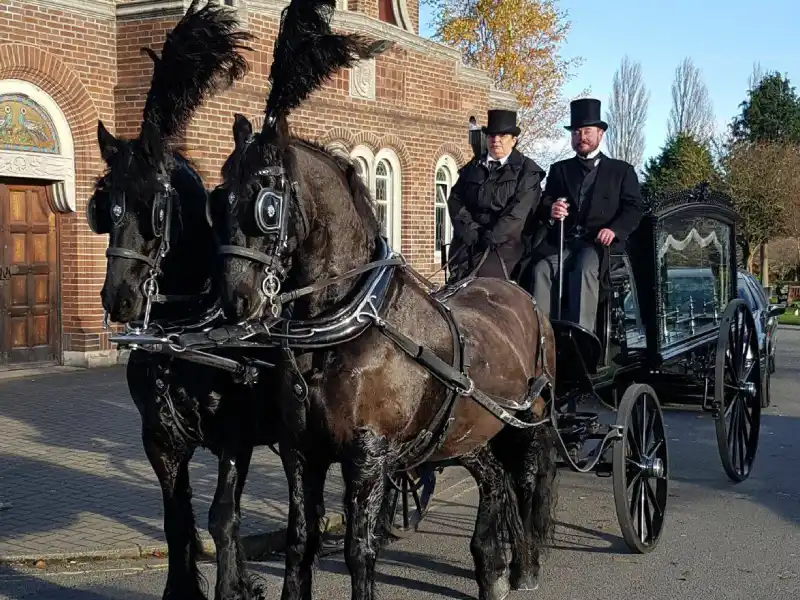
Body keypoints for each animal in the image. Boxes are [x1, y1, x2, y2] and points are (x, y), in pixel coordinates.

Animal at [85, 2, 282, 596]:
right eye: (103, 205)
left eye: (156, 208)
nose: (120, 299)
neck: (187, 337)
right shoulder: (160, 437)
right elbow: (179, 521)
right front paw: (190, 586)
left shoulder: (236, 435)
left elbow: (223, 516)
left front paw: (231, 585)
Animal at [206, 1, 556, 600]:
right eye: (218, 197)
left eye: (267, 205)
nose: (236, 298)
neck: (340, 329)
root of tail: (514, 290)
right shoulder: (301, 451)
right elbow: (301, 542)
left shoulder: (367, 455)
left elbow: (358, 551)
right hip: (470, 429)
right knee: (494, 483)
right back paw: (491, 564)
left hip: (527, 418)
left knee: (528, 478)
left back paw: (526, 563)